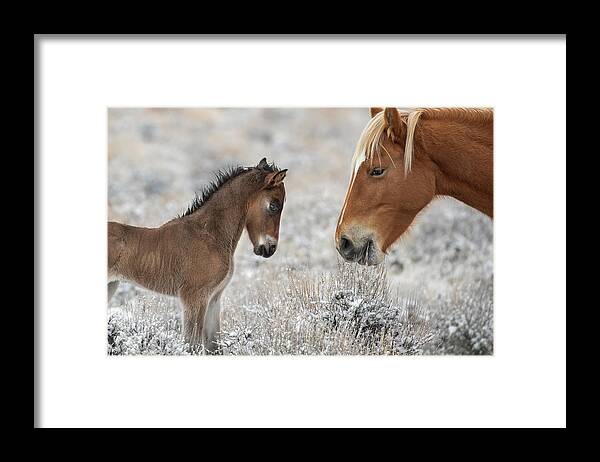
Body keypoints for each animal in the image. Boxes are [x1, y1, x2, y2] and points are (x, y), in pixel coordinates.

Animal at [109, 157, 288, 352]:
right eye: (274, 206)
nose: (270, 249)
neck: (210, 235)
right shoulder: (194, 298)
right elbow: (192, 344)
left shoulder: (214, 299)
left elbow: (213, 346)